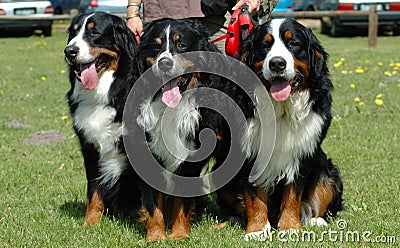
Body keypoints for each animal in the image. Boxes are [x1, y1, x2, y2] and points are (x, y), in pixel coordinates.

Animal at [64, 12, 141, 227]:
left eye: (94, 32)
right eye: (73, 33)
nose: (69, 51)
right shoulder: (89, 148)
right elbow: (94, 190)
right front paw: (90, 223)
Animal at [134, 17, 253, 242]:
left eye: (181, 45)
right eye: (156, 45)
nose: (165, 63)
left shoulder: (192, 157)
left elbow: (183, 200)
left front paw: (179, 234)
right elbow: (153, 204)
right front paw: (156, 236)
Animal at [219, 18, 344, 239]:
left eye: (293, 44)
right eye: (265, 45)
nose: (277, 63)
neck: (281, 109)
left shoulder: (302, 152)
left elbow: (294, 193)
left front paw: (291, 227)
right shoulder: (250, 151)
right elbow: (253, 194)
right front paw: (257, 230)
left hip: (328, 172)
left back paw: (315, 219)